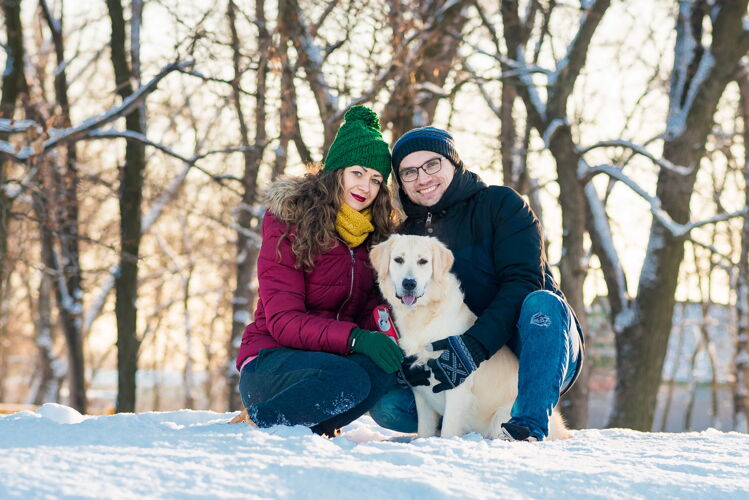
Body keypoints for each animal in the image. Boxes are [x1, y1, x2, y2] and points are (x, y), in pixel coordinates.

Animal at [368, 234, 568, 438]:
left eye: (423, 261)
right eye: (398, 260)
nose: (409, 283)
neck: (423, 315)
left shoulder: (457, 388)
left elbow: (448, 429)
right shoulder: (420, 389)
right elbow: (424, 430)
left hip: (501, 416)